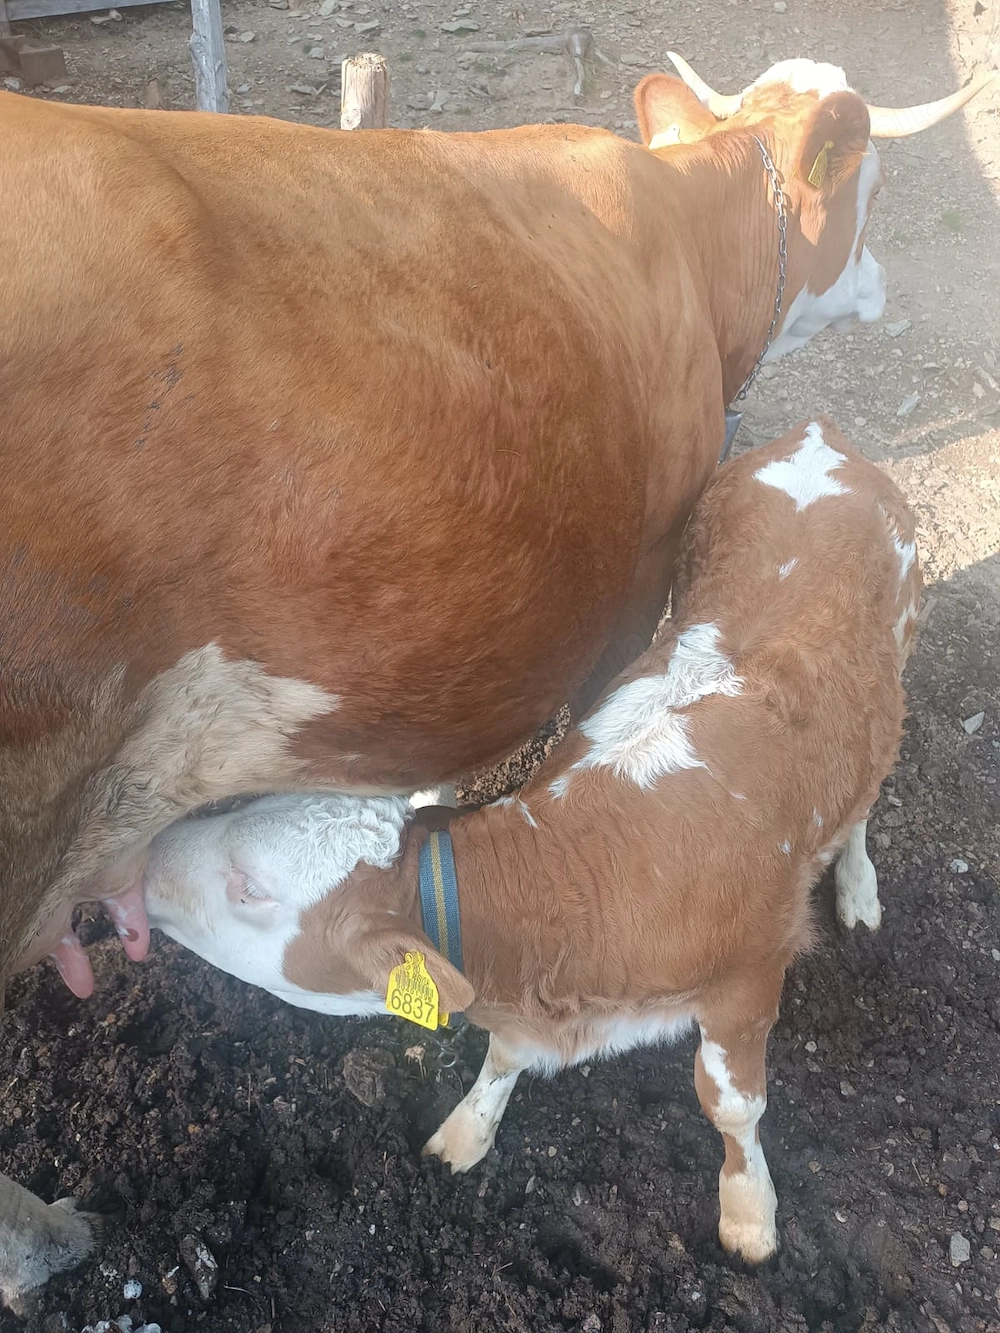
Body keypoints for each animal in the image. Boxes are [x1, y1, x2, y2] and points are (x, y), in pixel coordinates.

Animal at [140, 418, 922, 1263]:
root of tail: (819, 438)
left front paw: (748, 1209)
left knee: (865, 794)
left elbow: (732, 1106)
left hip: (899, 651)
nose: (146, 861)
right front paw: (468, 1128)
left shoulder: (749, 977)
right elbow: (506, 1056)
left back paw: (857, 885)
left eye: (251, 885)